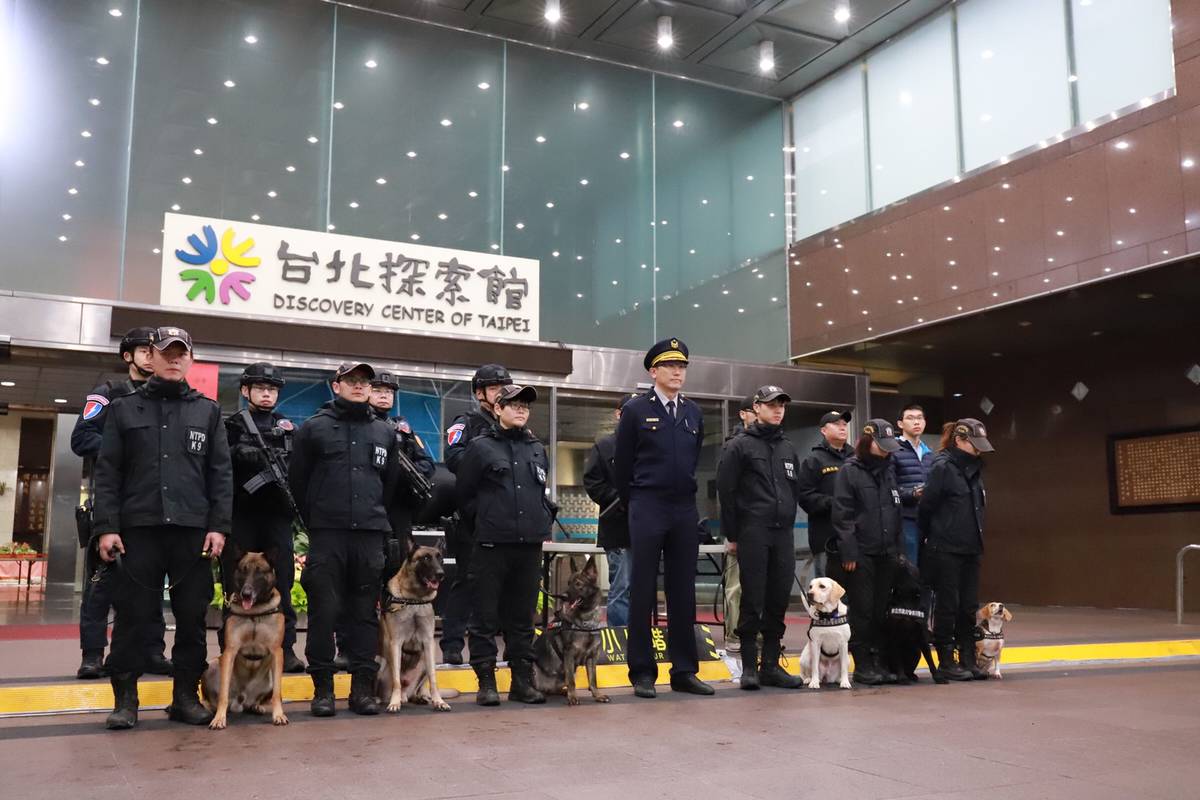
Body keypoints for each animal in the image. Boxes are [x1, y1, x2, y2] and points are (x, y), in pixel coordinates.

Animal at [201, 551, 288, 724]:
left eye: (260, 572)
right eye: (243, 570)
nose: (246, 593)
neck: (255, 611)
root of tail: (241, 701)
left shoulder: (277, 652)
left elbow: (277, 694)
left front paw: (278, 715)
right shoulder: (230, 651)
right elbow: (223, 695)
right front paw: (219, 718)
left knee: (259, 700)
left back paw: (257, 707)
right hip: (212, 666)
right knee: (211, 700)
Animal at [374, 544, 453, 714]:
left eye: (441, 559)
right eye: (425, 558)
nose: (441, 574)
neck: (413, 599)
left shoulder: (428, 642)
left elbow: (433, 678)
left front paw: (439, 701)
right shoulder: (395, 643)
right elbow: (396, 679)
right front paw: (394, 703)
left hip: (426, 660)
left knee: (420, 686)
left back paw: (420, 697)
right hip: (379, 661)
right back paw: (383, 699)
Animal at [535, 556, 609, 705]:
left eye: (578, 584)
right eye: (568, 583)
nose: (563, 596)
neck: (585, 621)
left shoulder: (592, 656)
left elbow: (593, 680)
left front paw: (597, 695)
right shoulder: (569, 654)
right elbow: (571, 681)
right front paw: (573, 697)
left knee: (554, 689)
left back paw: (562, 692)